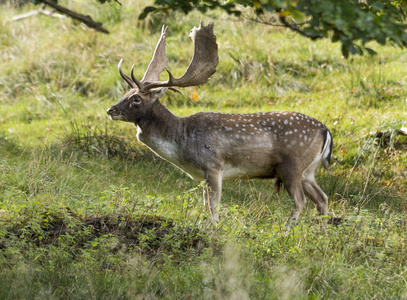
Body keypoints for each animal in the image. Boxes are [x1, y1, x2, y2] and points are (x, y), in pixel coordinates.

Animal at [107, 21, 334, 229]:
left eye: (136, 99)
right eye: (126, 93)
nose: (111, 110)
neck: (181, 140)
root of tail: (326, 130)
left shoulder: (213, 165)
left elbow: (213, 206)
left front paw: (213, 228)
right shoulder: (203, 175)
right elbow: (206, 204)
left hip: (292, 165)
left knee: (300, 201)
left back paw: (286, 232)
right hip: (308, 170)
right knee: (322, 198)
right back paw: (322, 232)